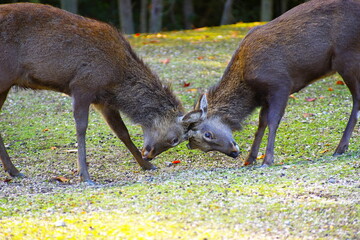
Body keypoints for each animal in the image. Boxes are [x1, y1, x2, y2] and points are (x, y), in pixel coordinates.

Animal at [0, 2, 200, 184]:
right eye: (175, 139)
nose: (149, 155)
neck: (117, 80)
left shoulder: (102, 101)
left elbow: (122, 132)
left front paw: (146, 166)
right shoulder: (82, 85)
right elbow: (81, 128)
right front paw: (85, 175)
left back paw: (14, 171)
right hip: (5, 77)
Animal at [186, 0, 360, 167]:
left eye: (207, 134)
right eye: (201, 148)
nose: (234, 153)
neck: (251, 90)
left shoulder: (280, 84)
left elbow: (273, 121)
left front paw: (267, 160)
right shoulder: (265, 97)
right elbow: (261, 123)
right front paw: (250, 159)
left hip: (347, 57)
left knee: (356, 99)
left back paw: (340, 148)